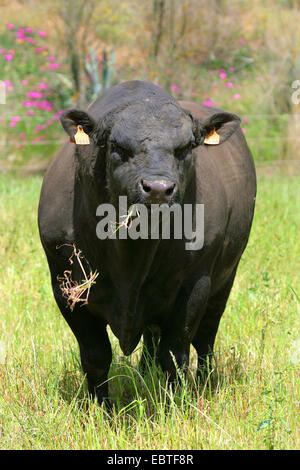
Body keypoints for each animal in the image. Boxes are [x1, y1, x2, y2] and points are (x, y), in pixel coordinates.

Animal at [38, 80, 256, 404]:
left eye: (185, 147)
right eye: (118, 146)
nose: (158, 188)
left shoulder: (195, 285)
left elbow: (175, 354)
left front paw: (173, 404)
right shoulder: (65, 285)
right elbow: (96, 356)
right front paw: (100, 408)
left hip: (225, 279)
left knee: (205, 340)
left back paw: (203, 382)